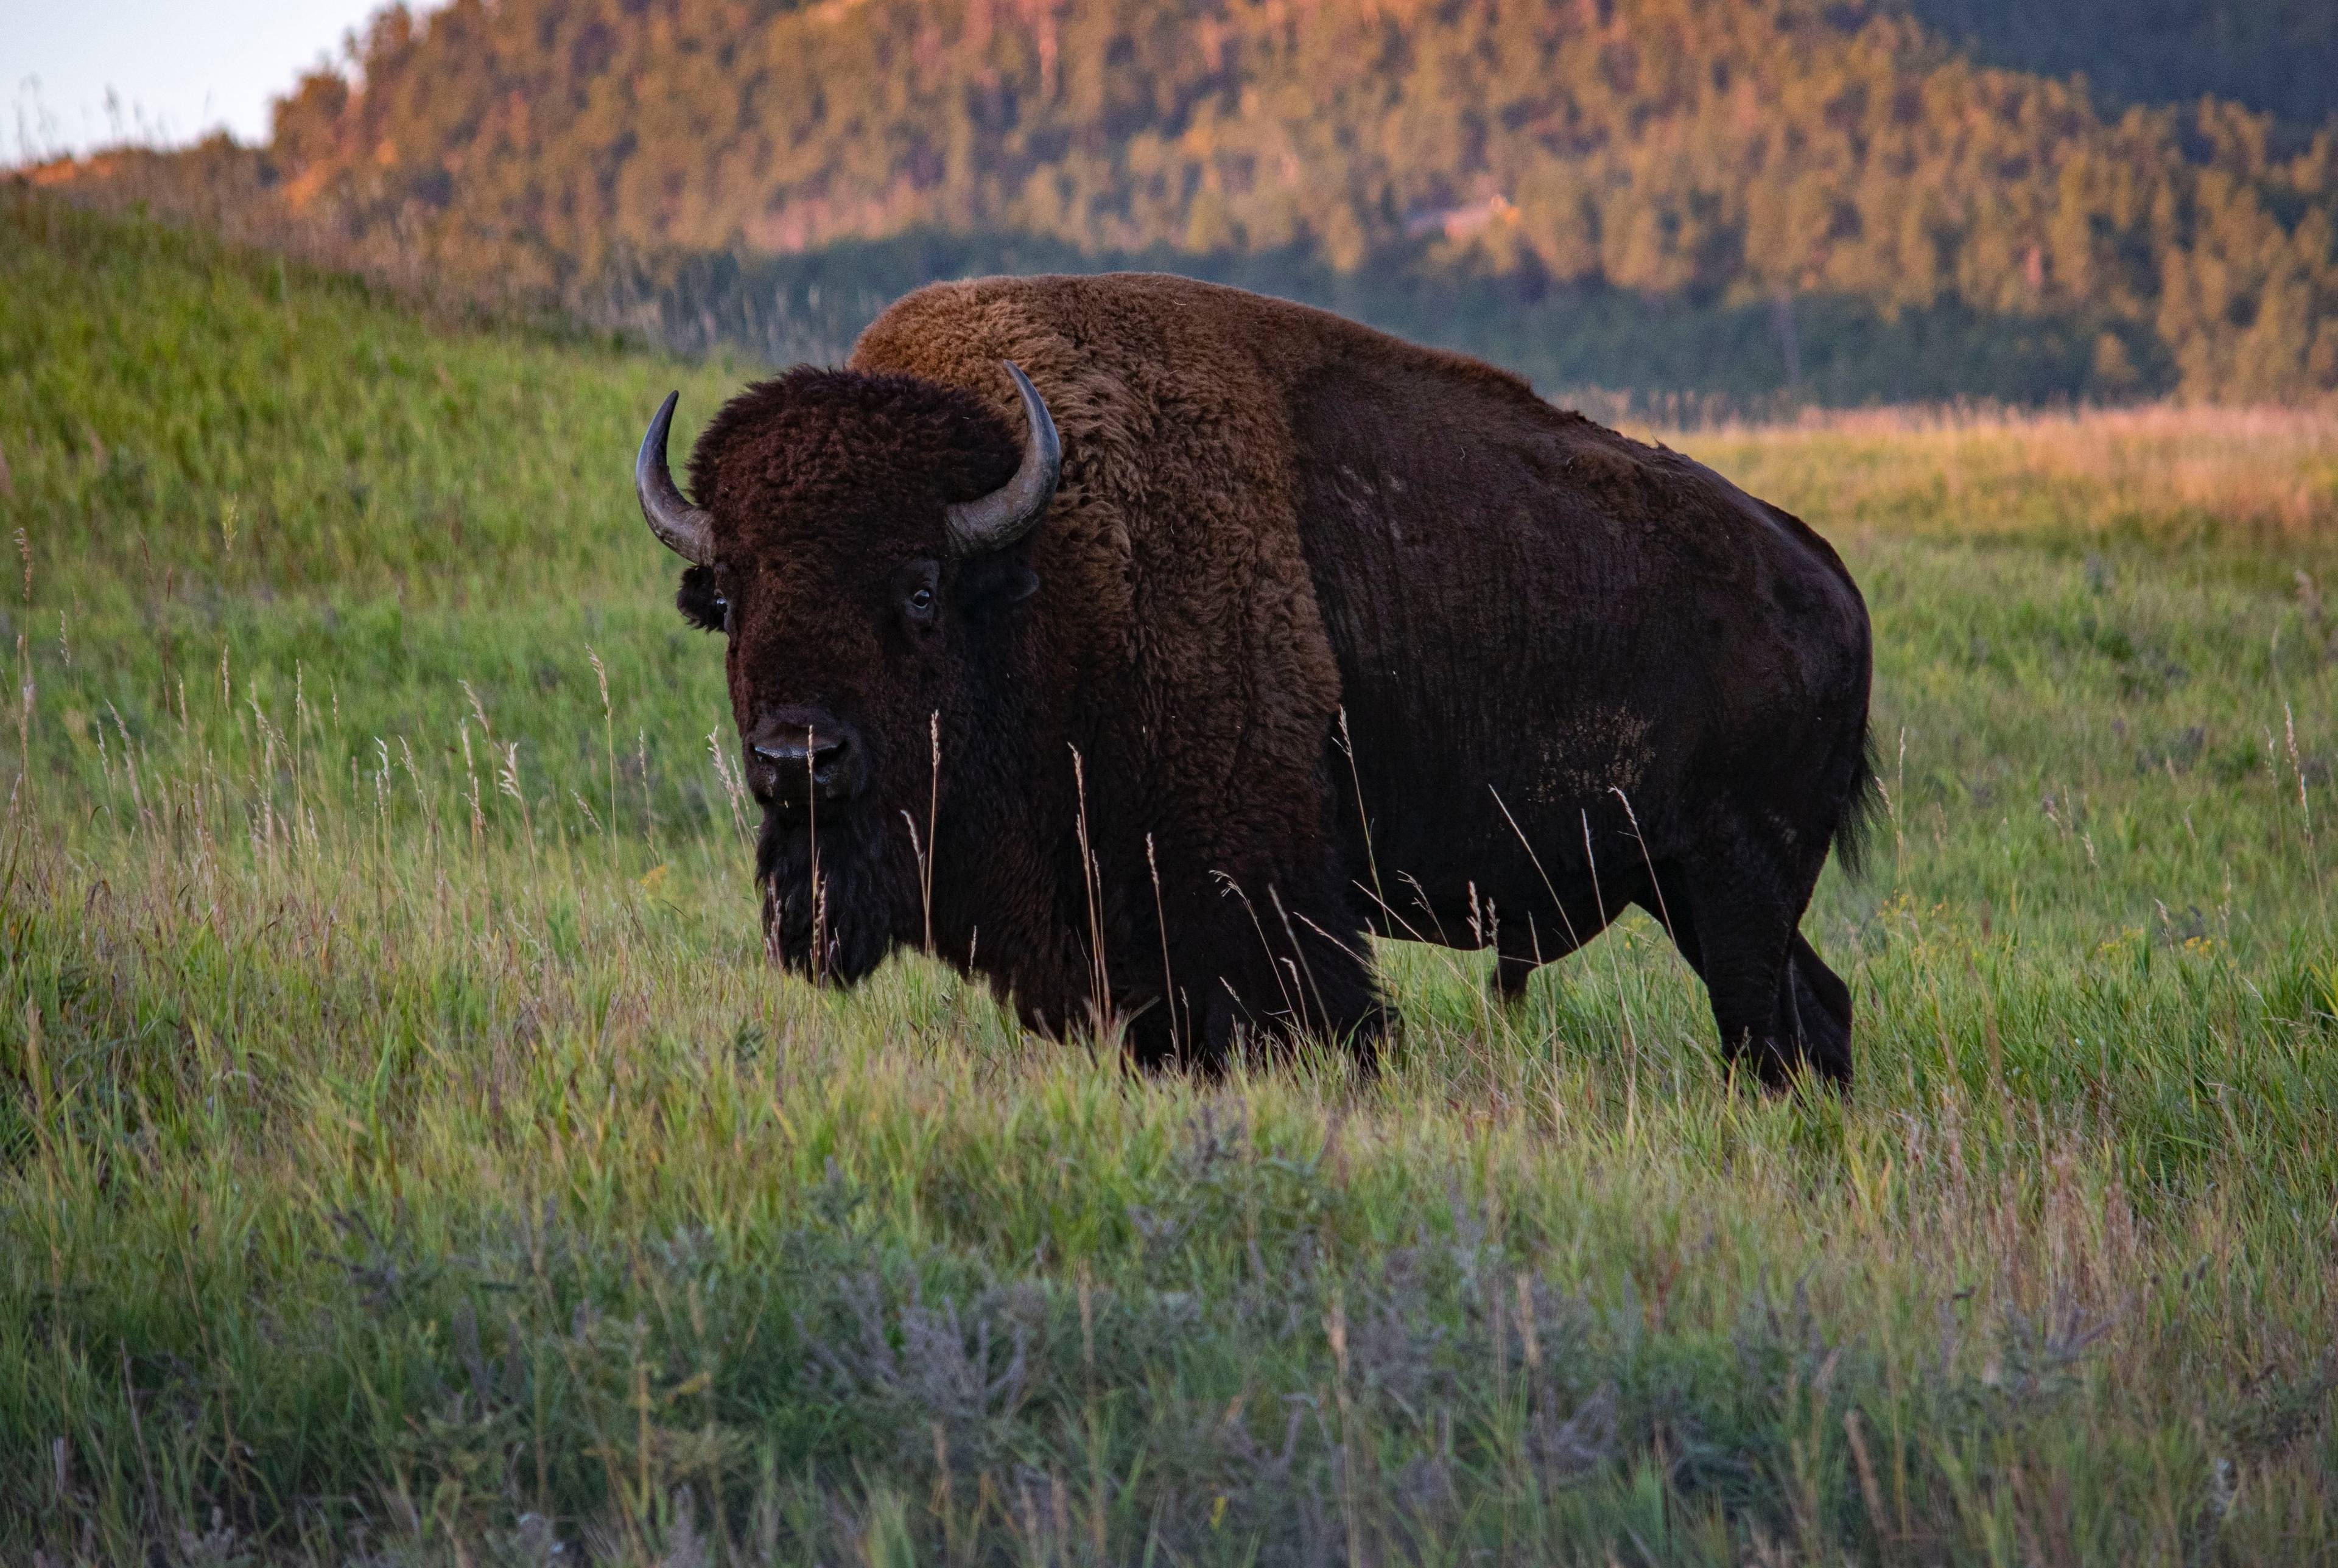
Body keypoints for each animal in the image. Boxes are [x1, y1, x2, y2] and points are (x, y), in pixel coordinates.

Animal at [645, 276, 1880, 1084]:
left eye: (916, 588)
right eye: (732, 593)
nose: (798, 760)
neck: (1042, 573)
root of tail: (1823, 573)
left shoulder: (1255, 904)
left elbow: (1323, 1021)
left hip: (1737, 881)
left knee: (1766, 1022)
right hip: (1687, 885)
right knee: (1814, 1008)